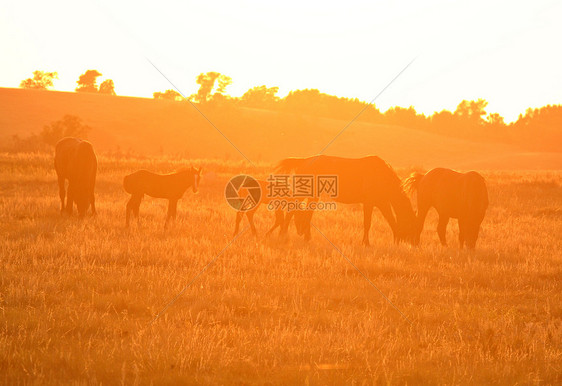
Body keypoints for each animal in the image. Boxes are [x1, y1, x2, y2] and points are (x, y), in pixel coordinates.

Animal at [276, 155, 416, 246]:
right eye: (411, 223)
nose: (412, 242)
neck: (382, 175)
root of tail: (303, 161)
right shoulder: (369, 203)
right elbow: (367, 223)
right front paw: (366, 243)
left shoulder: (382, 202)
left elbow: (391, 219)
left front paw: (396, 240)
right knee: (292, 211)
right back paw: (283, 235)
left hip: (314, 196)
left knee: (307, 214)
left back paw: (306, 237)